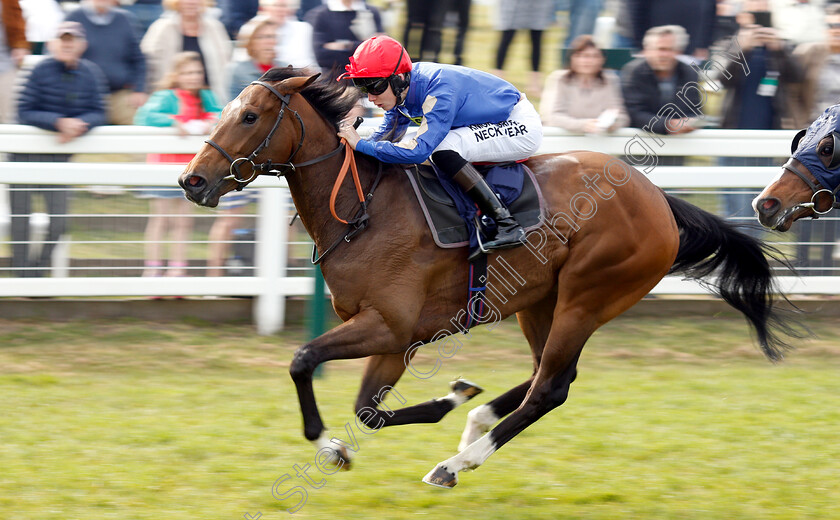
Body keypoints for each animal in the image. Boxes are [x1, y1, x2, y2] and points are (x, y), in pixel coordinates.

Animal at [180, 68, 796, 488]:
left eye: (249, 117)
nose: (192, 180)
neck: (360, 209)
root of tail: (659, 200)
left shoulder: (388, 325)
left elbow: (304, 360)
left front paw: (331, 443)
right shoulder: (395, 338)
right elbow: (367, 412)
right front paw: (442, 400)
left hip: (587, 295)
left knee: (550, 386)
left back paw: (457, 461)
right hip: (541, 302)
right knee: (551, 372)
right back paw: (475, 419)